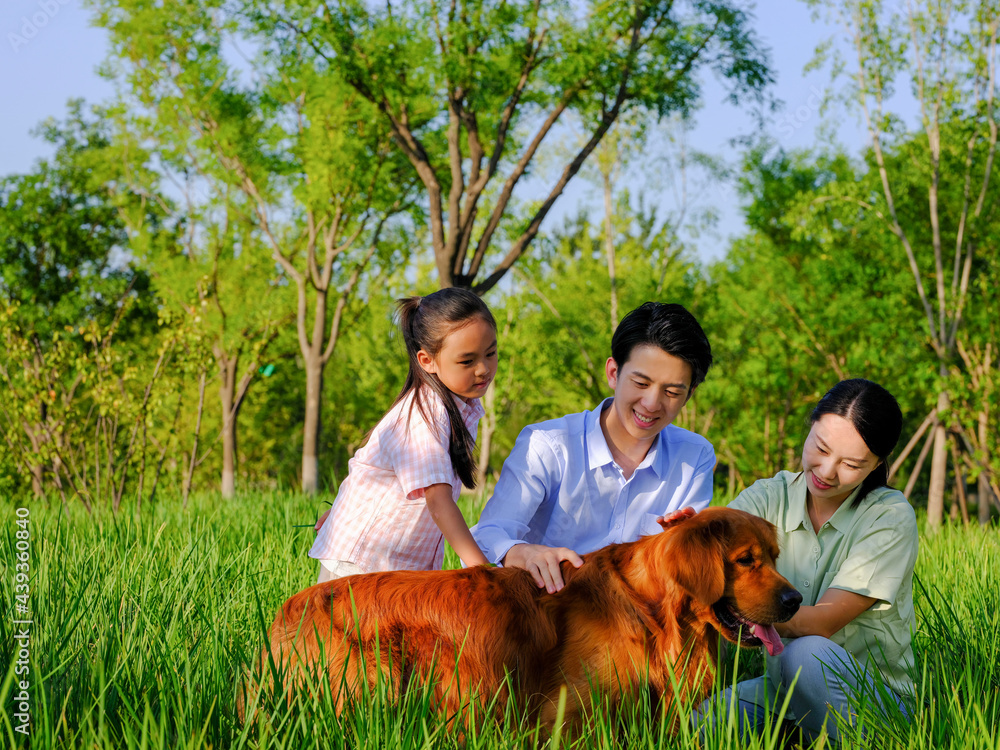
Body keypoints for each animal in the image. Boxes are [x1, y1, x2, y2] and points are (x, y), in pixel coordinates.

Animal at [240, 508, 804, 732]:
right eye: (746, 560)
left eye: (775, 556)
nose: (796, 600)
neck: (650, 612)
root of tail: (289, 611)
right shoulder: (569, 714)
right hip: (375, 677)